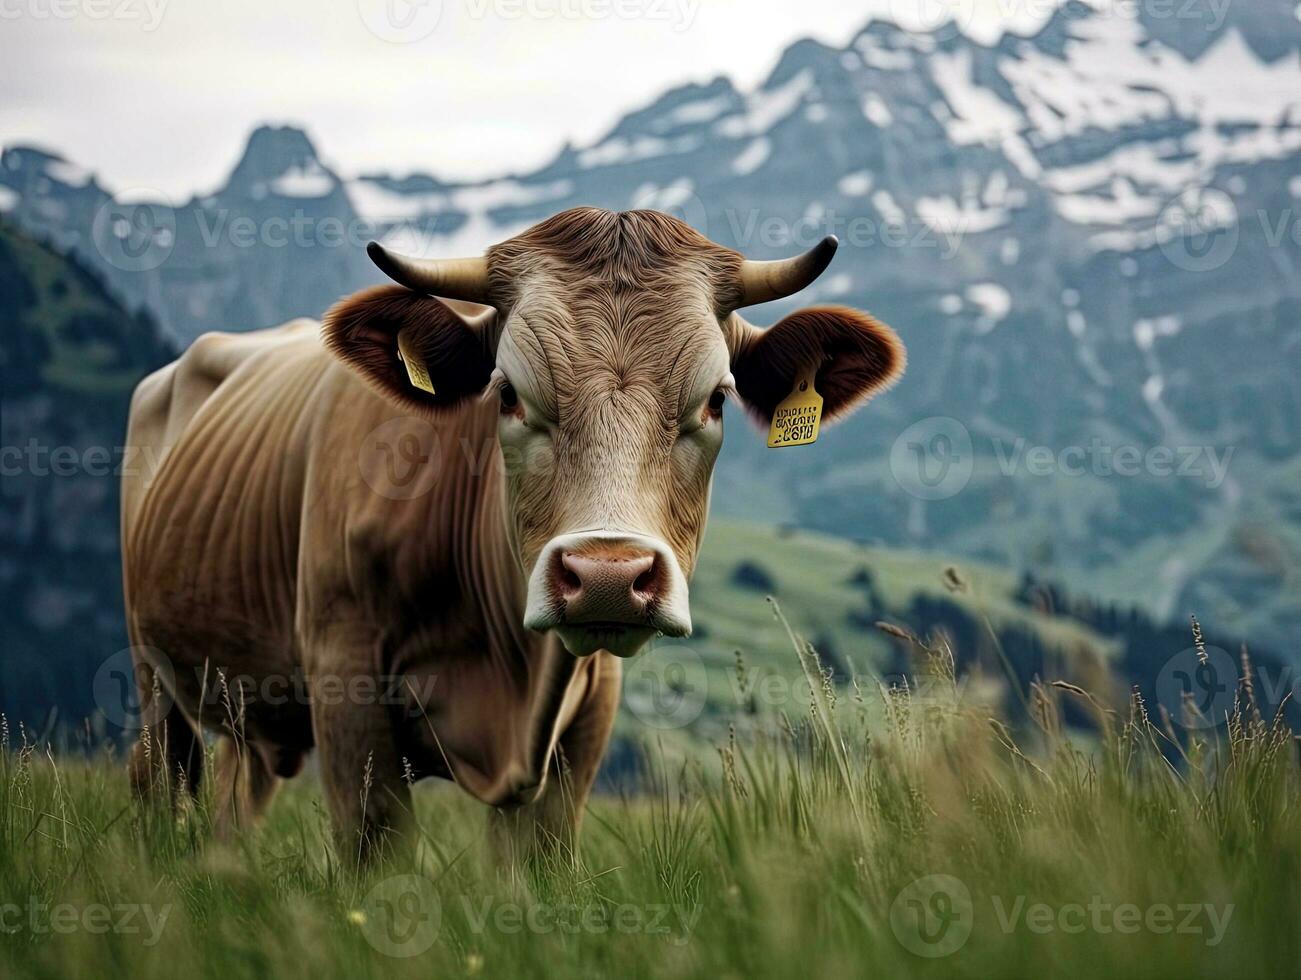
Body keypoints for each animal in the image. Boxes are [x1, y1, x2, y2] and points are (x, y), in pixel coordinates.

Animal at [122, 204, 905, 853]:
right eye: (507, 394)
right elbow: (374, 847)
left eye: (715, 400)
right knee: (158, 779)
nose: (607, 577)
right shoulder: (346, 681)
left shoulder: (585, 718)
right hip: (154, 676)